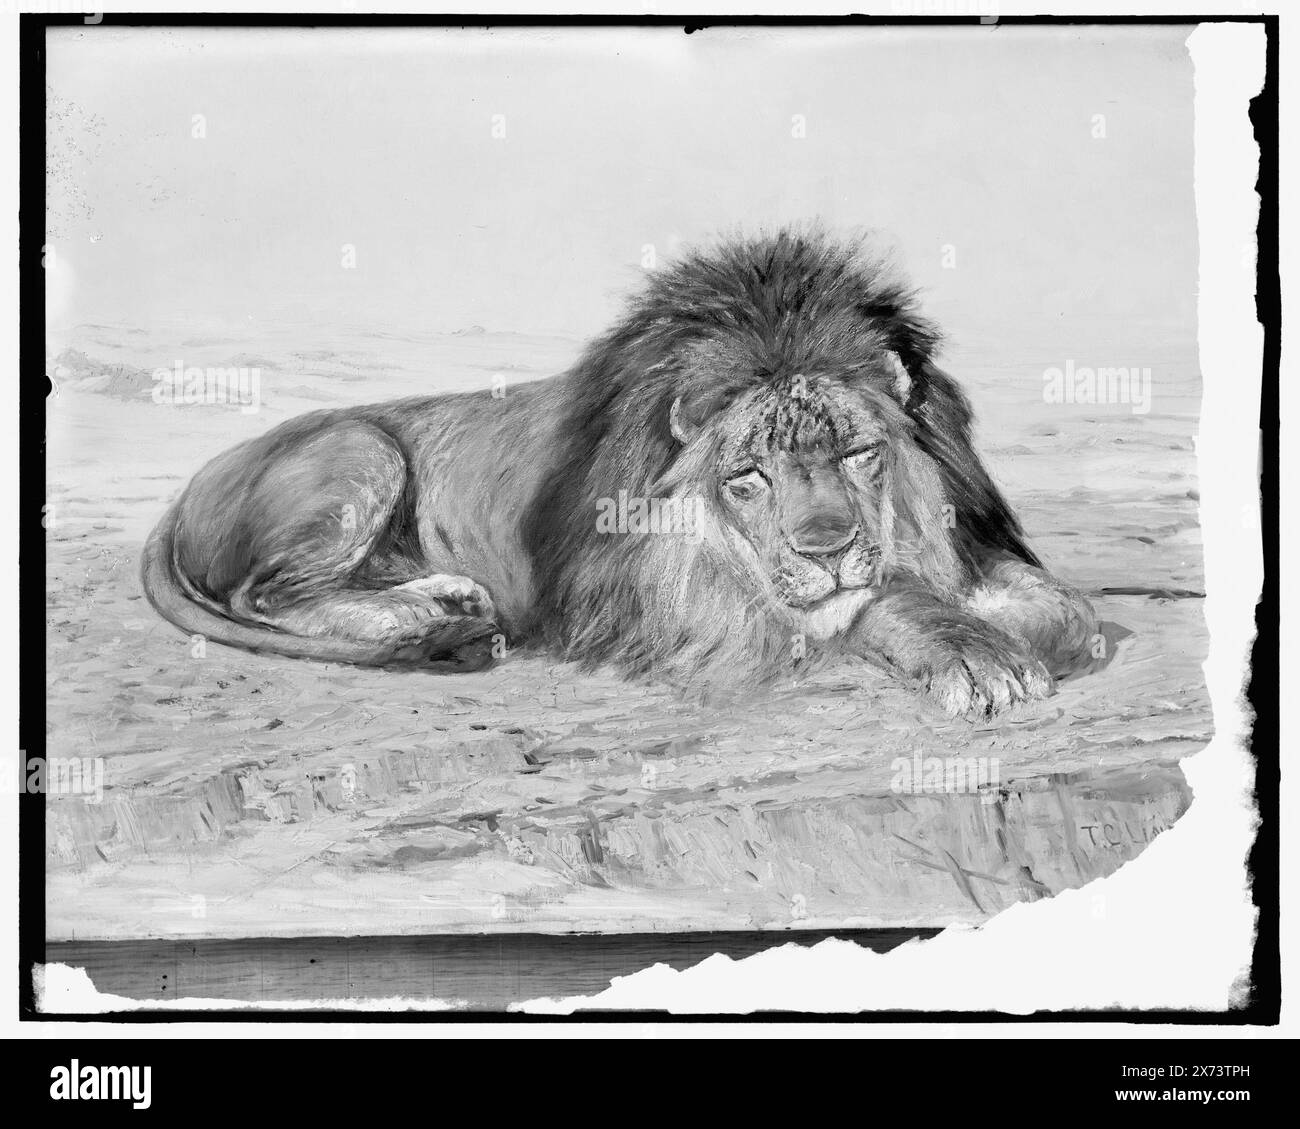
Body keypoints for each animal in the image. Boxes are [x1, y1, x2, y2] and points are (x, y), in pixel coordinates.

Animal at [141, 230, 1097, 718]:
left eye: (860, 454)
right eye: (748, 476)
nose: (827, 546)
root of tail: (182, 494)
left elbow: (1068, 610)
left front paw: (1012, 627)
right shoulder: (665, 610)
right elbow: (863, 604)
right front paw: (974, 654)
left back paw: (445, 601)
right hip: (362, 450)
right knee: (266, 594)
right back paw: (424, 622)